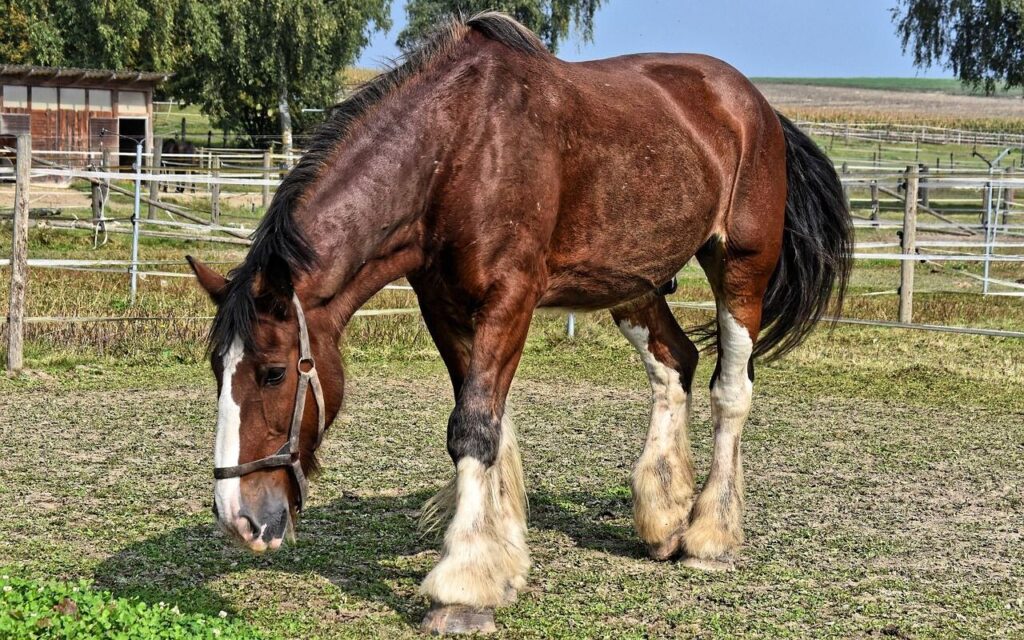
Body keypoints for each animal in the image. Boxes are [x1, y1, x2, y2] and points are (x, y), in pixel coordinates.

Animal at [186, 12, 851, 634]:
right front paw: (499, 563)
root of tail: (757, 106)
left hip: (741, 268)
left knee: (730, 391)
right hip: (632, 283)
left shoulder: (510, 300)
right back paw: (664, 518)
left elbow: (474, 428)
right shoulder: (445, 309)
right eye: (217, 369)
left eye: (274, 373)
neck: (456, 150)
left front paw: (462, 589)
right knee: (675, 365)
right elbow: (488, 425)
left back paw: (710, 535)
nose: (238, 517)